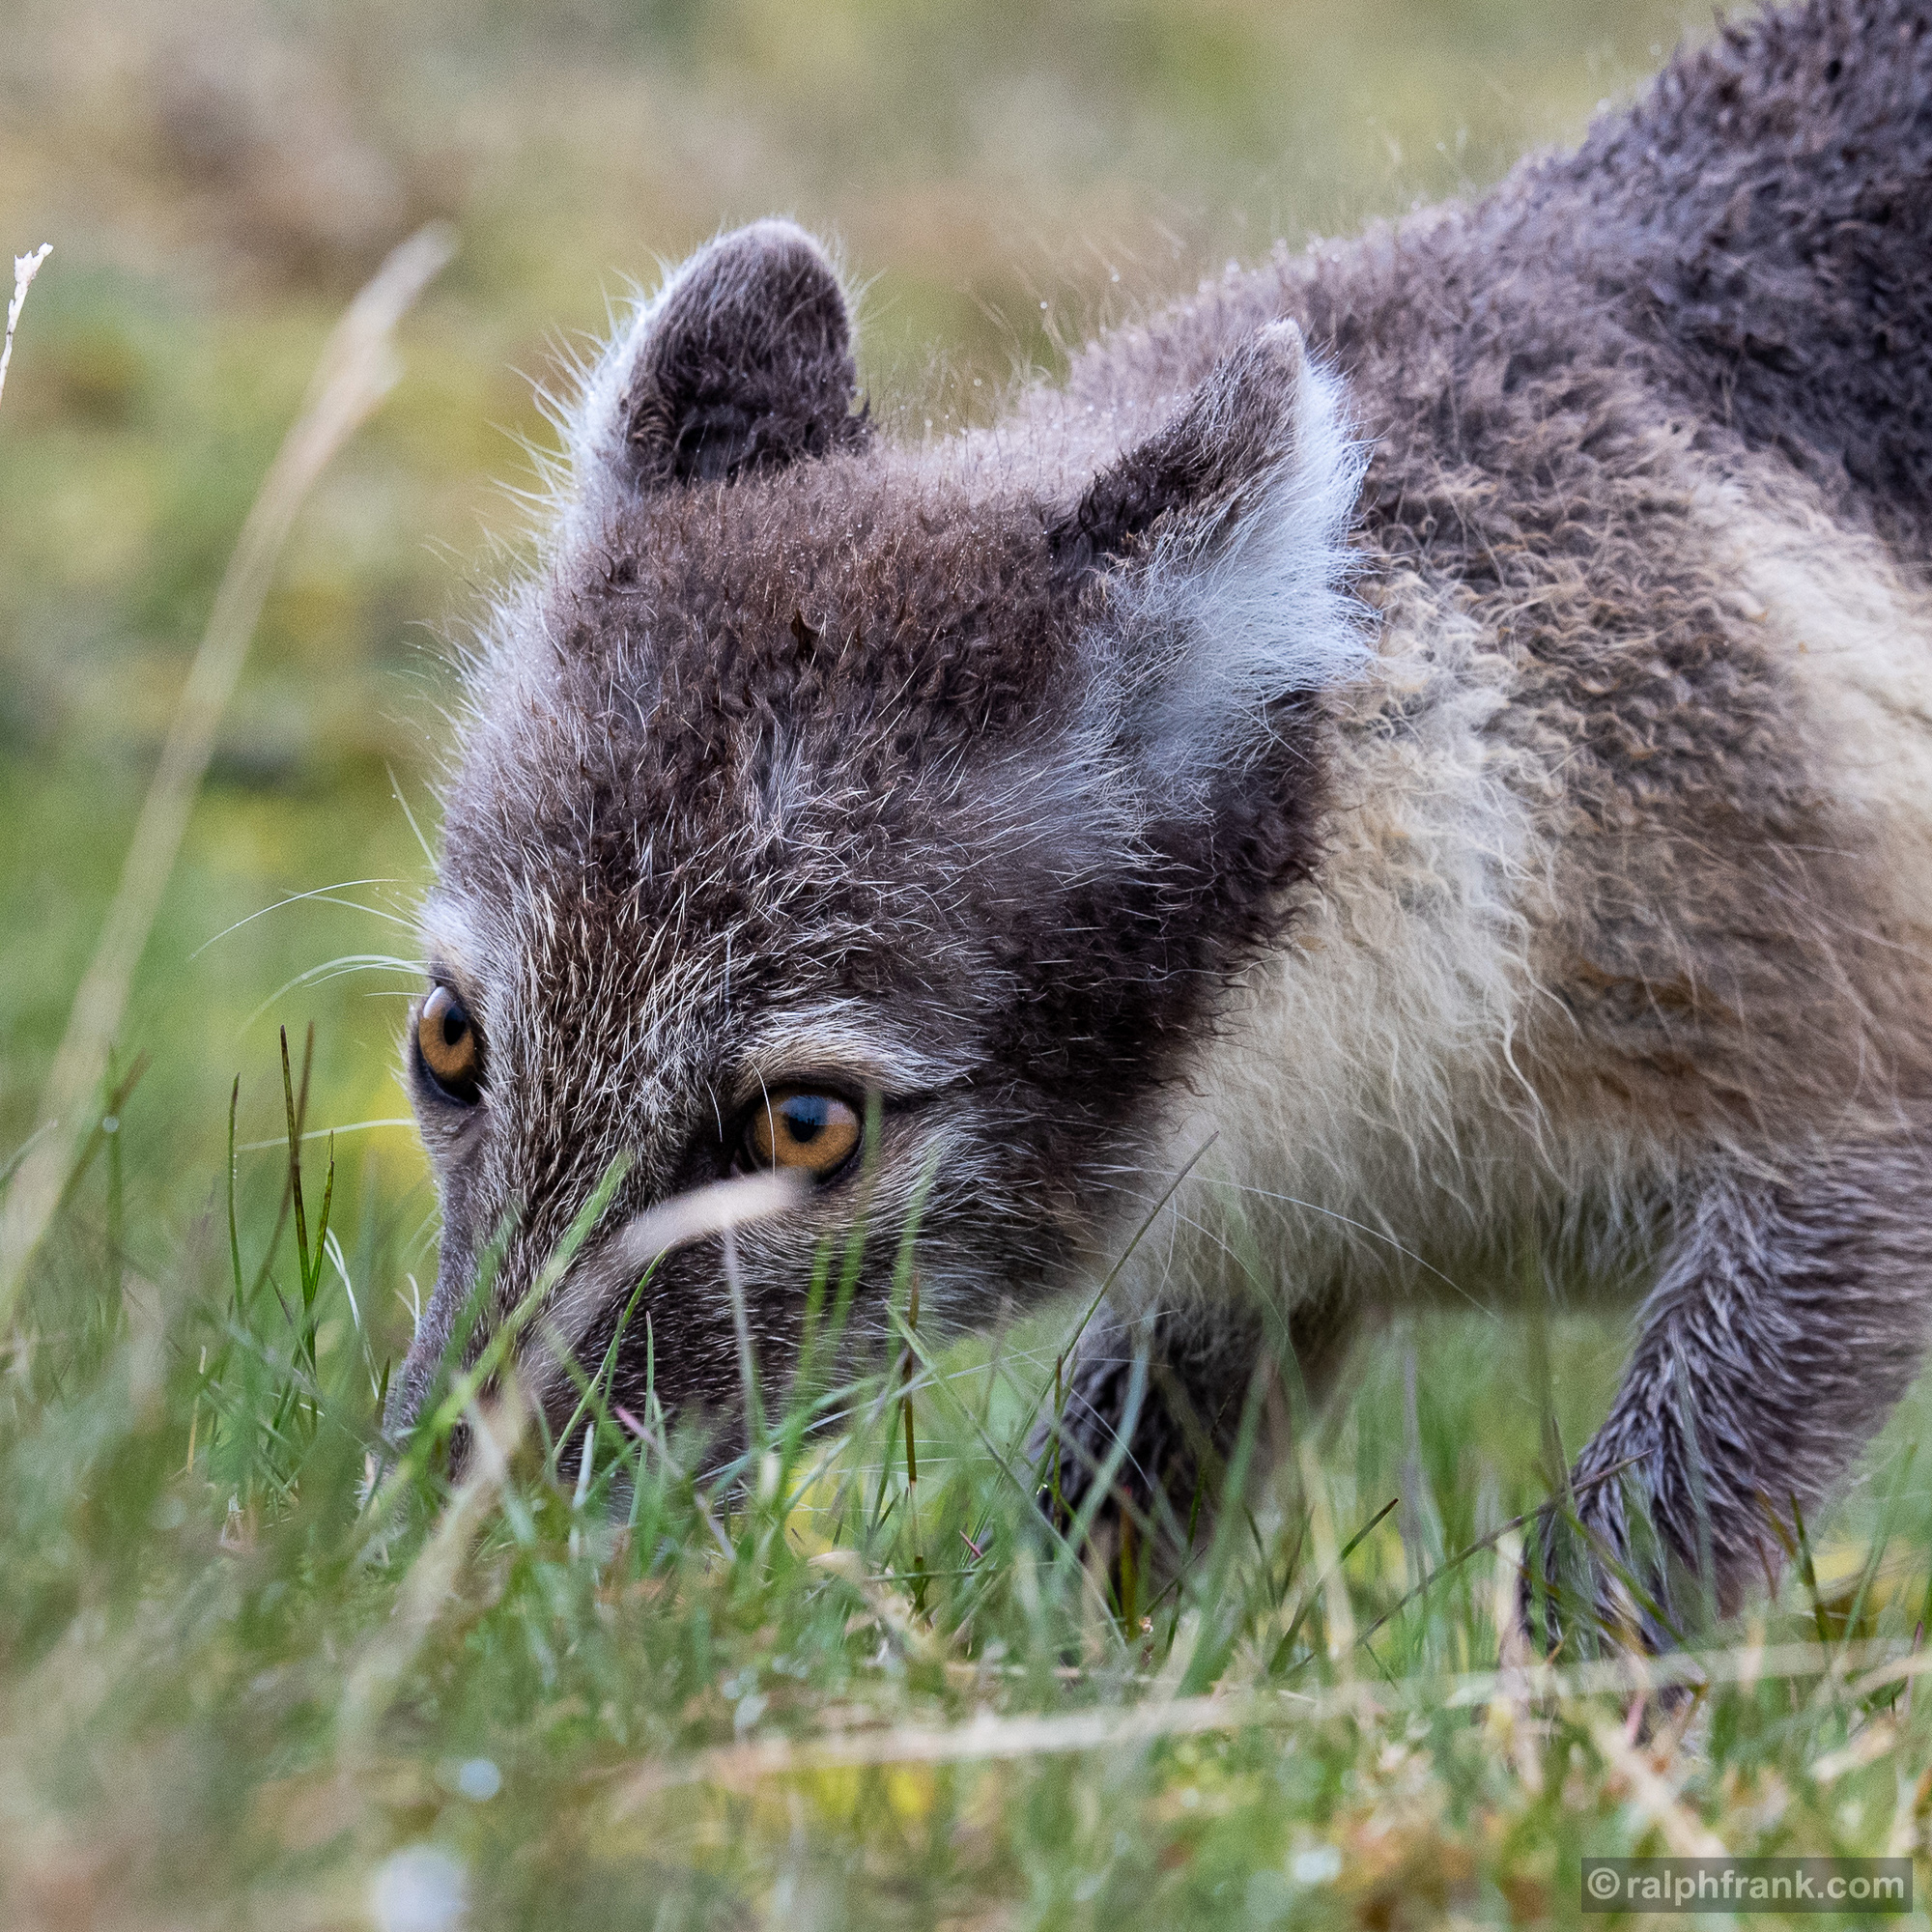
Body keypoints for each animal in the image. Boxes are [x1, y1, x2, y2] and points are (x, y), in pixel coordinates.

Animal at [389, 0, 1932, 1649]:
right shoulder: (1262, 1247)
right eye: (448, 1040)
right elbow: (1110, 1501)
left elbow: (1629, 1564)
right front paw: (1037, 1673)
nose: (436, 1559)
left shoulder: (1849, 1147)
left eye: (805, 1123)